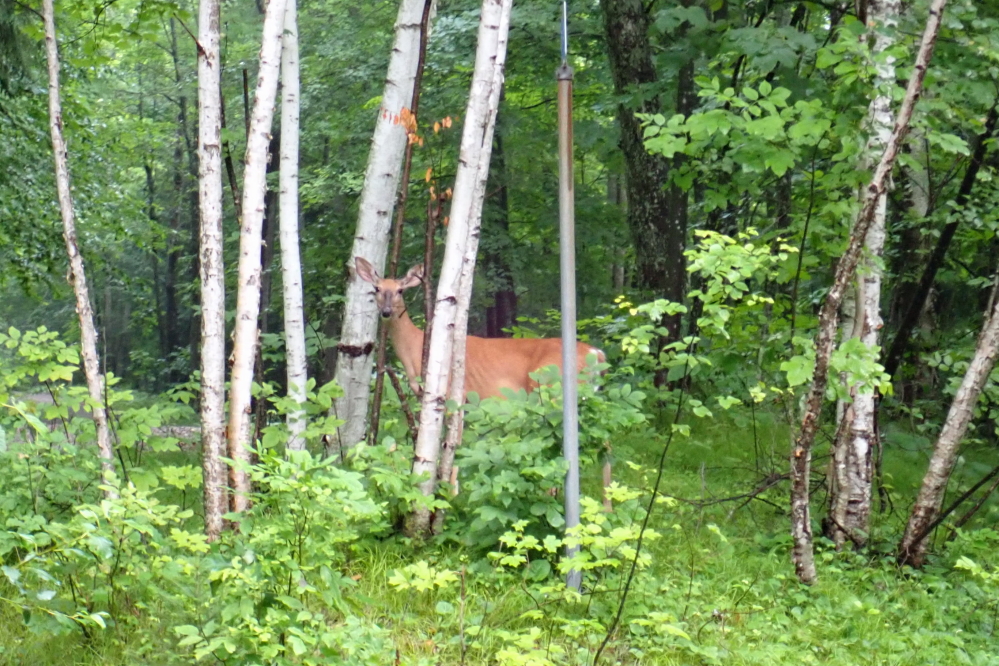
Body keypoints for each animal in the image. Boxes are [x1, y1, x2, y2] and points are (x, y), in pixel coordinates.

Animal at [354, 256, 605, 401]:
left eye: (400, 291)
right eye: (376, 289)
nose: (386, 312)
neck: (415, 350)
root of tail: (596, 353)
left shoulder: (453, 393)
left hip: (549, 384)